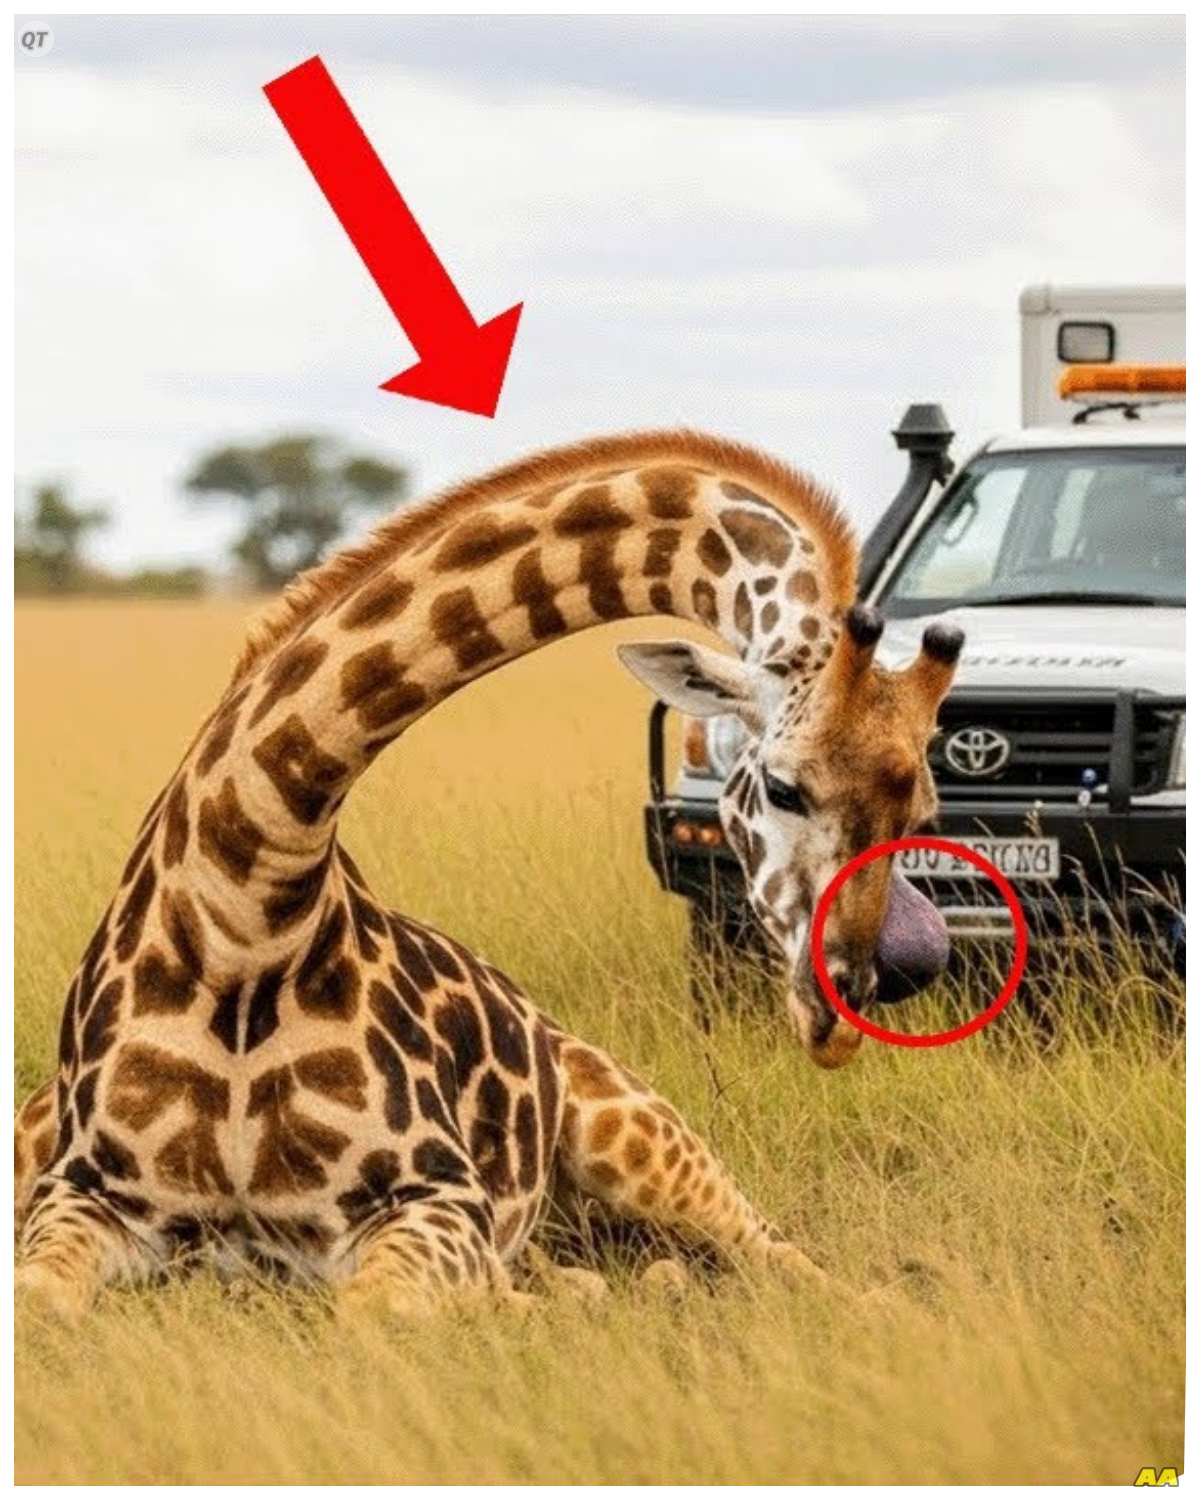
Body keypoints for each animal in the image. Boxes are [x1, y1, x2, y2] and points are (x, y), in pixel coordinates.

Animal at [14, 430, 963, 1320]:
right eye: (785, 787)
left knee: (779, 1257)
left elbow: (376, 1306)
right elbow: (38, 1299)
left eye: (923, 815)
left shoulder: (436, 1194)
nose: (843, 1012)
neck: (242, 912)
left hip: (643, 1137)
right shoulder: (84, 1191)